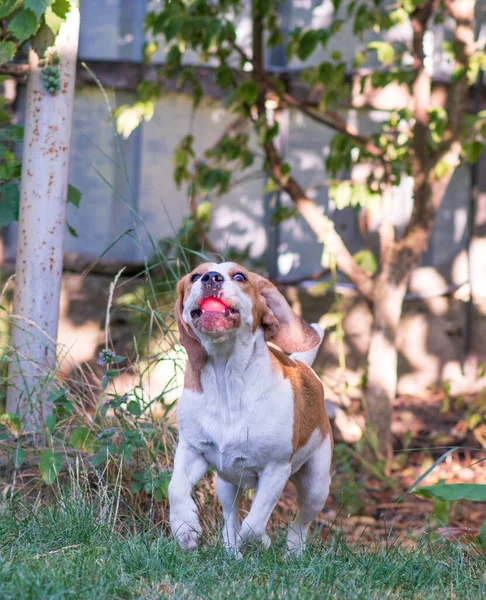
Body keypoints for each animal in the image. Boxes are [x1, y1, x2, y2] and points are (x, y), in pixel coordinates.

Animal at [169, 262, 332, 556]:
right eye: (195, 276)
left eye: (240, 276)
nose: (211, 278)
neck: (228, 381)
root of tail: (306, 368)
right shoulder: (191, 449)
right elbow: (175, 488)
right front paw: (185, 528)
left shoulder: (275, 471)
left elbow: (254, 525)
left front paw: (262, 541)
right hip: (225, 484)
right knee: (230, 518)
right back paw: (232, 553)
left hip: (316, 487)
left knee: (299, 524)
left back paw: (293, 552)